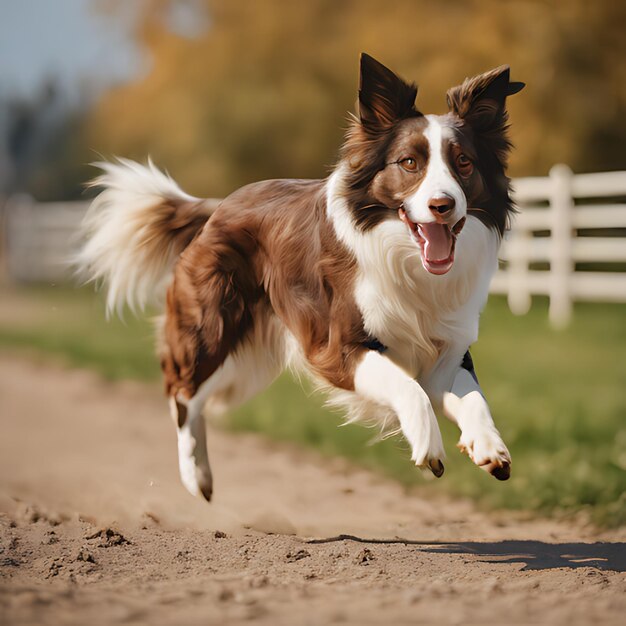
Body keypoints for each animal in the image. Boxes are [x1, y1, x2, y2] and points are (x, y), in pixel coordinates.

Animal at [79, 54, 528, 502]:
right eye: (409, 163)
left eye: (463, 162)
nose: (442, 205)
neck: (407, 262)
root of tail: (218, 205)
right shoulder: (338, 348)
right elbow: (409, 388)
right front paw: (428, 443)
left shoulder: (447, 349)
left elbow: (473, 397)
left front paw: (488, 445)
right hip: (211, 328)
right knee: (182, 392)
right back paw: (195, 475)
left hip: (247, 361)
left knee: (199, 397)